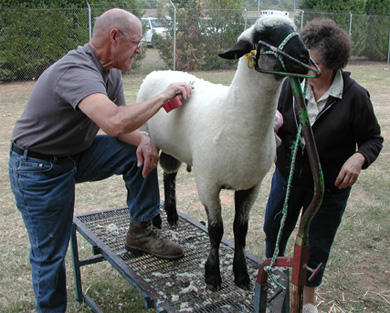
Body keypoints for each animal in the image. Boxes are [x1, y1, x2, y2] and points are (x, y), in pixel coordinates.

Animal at [137, 15, 310, 292]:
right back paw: (157, 220)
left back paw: (173, 216)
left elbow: (240, 229)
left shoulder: (251, 185)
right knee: (151, 175)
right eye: (264, 36)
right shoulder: (208, 183)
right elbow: (216, 230)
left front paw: (242, 275)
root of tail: (159, 72)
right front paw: (213, 275)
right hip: (147, 137)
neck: (233, 113)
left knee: (169, 176)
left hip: (174, 149)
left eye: (295, 30)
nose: (305, 56)